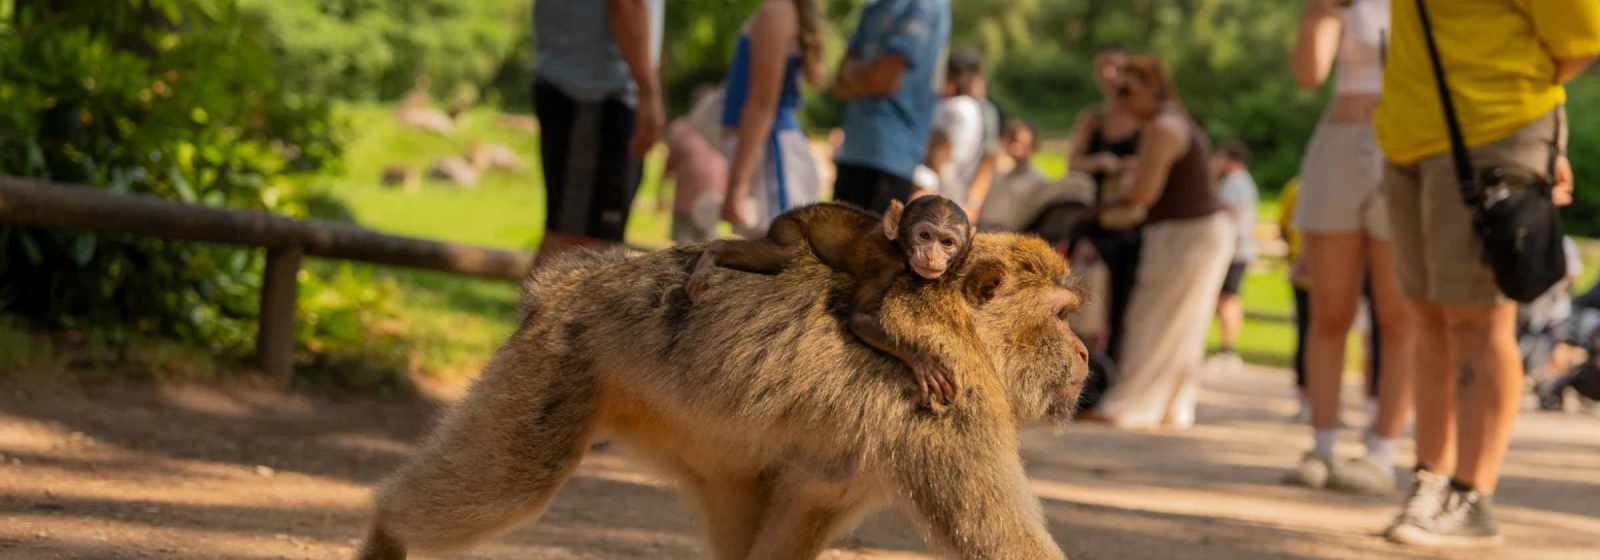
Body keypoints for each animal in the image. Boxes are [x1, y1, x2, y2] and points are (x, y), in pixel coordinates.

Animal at [355, 233, 1088, 560]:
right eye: (1062, 317)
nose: (1085, 355)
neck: (965, 328)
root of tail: (570, 282)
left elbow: (805, 510)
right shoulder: (953, 399)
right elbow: (995, 536)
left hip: (699, 441)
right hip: (560, 366)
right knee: (512, 482)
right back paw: (390, 531)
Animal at [684, 196, 975, 407]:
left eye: (947, 242)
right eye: (924, 236)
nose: (932, 255)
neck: (900, 249)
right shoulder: (885, 266)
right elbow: (859, 318)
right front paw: (922, 359)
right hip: (790, 227)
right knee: (783, 253)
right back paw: (713, 253)